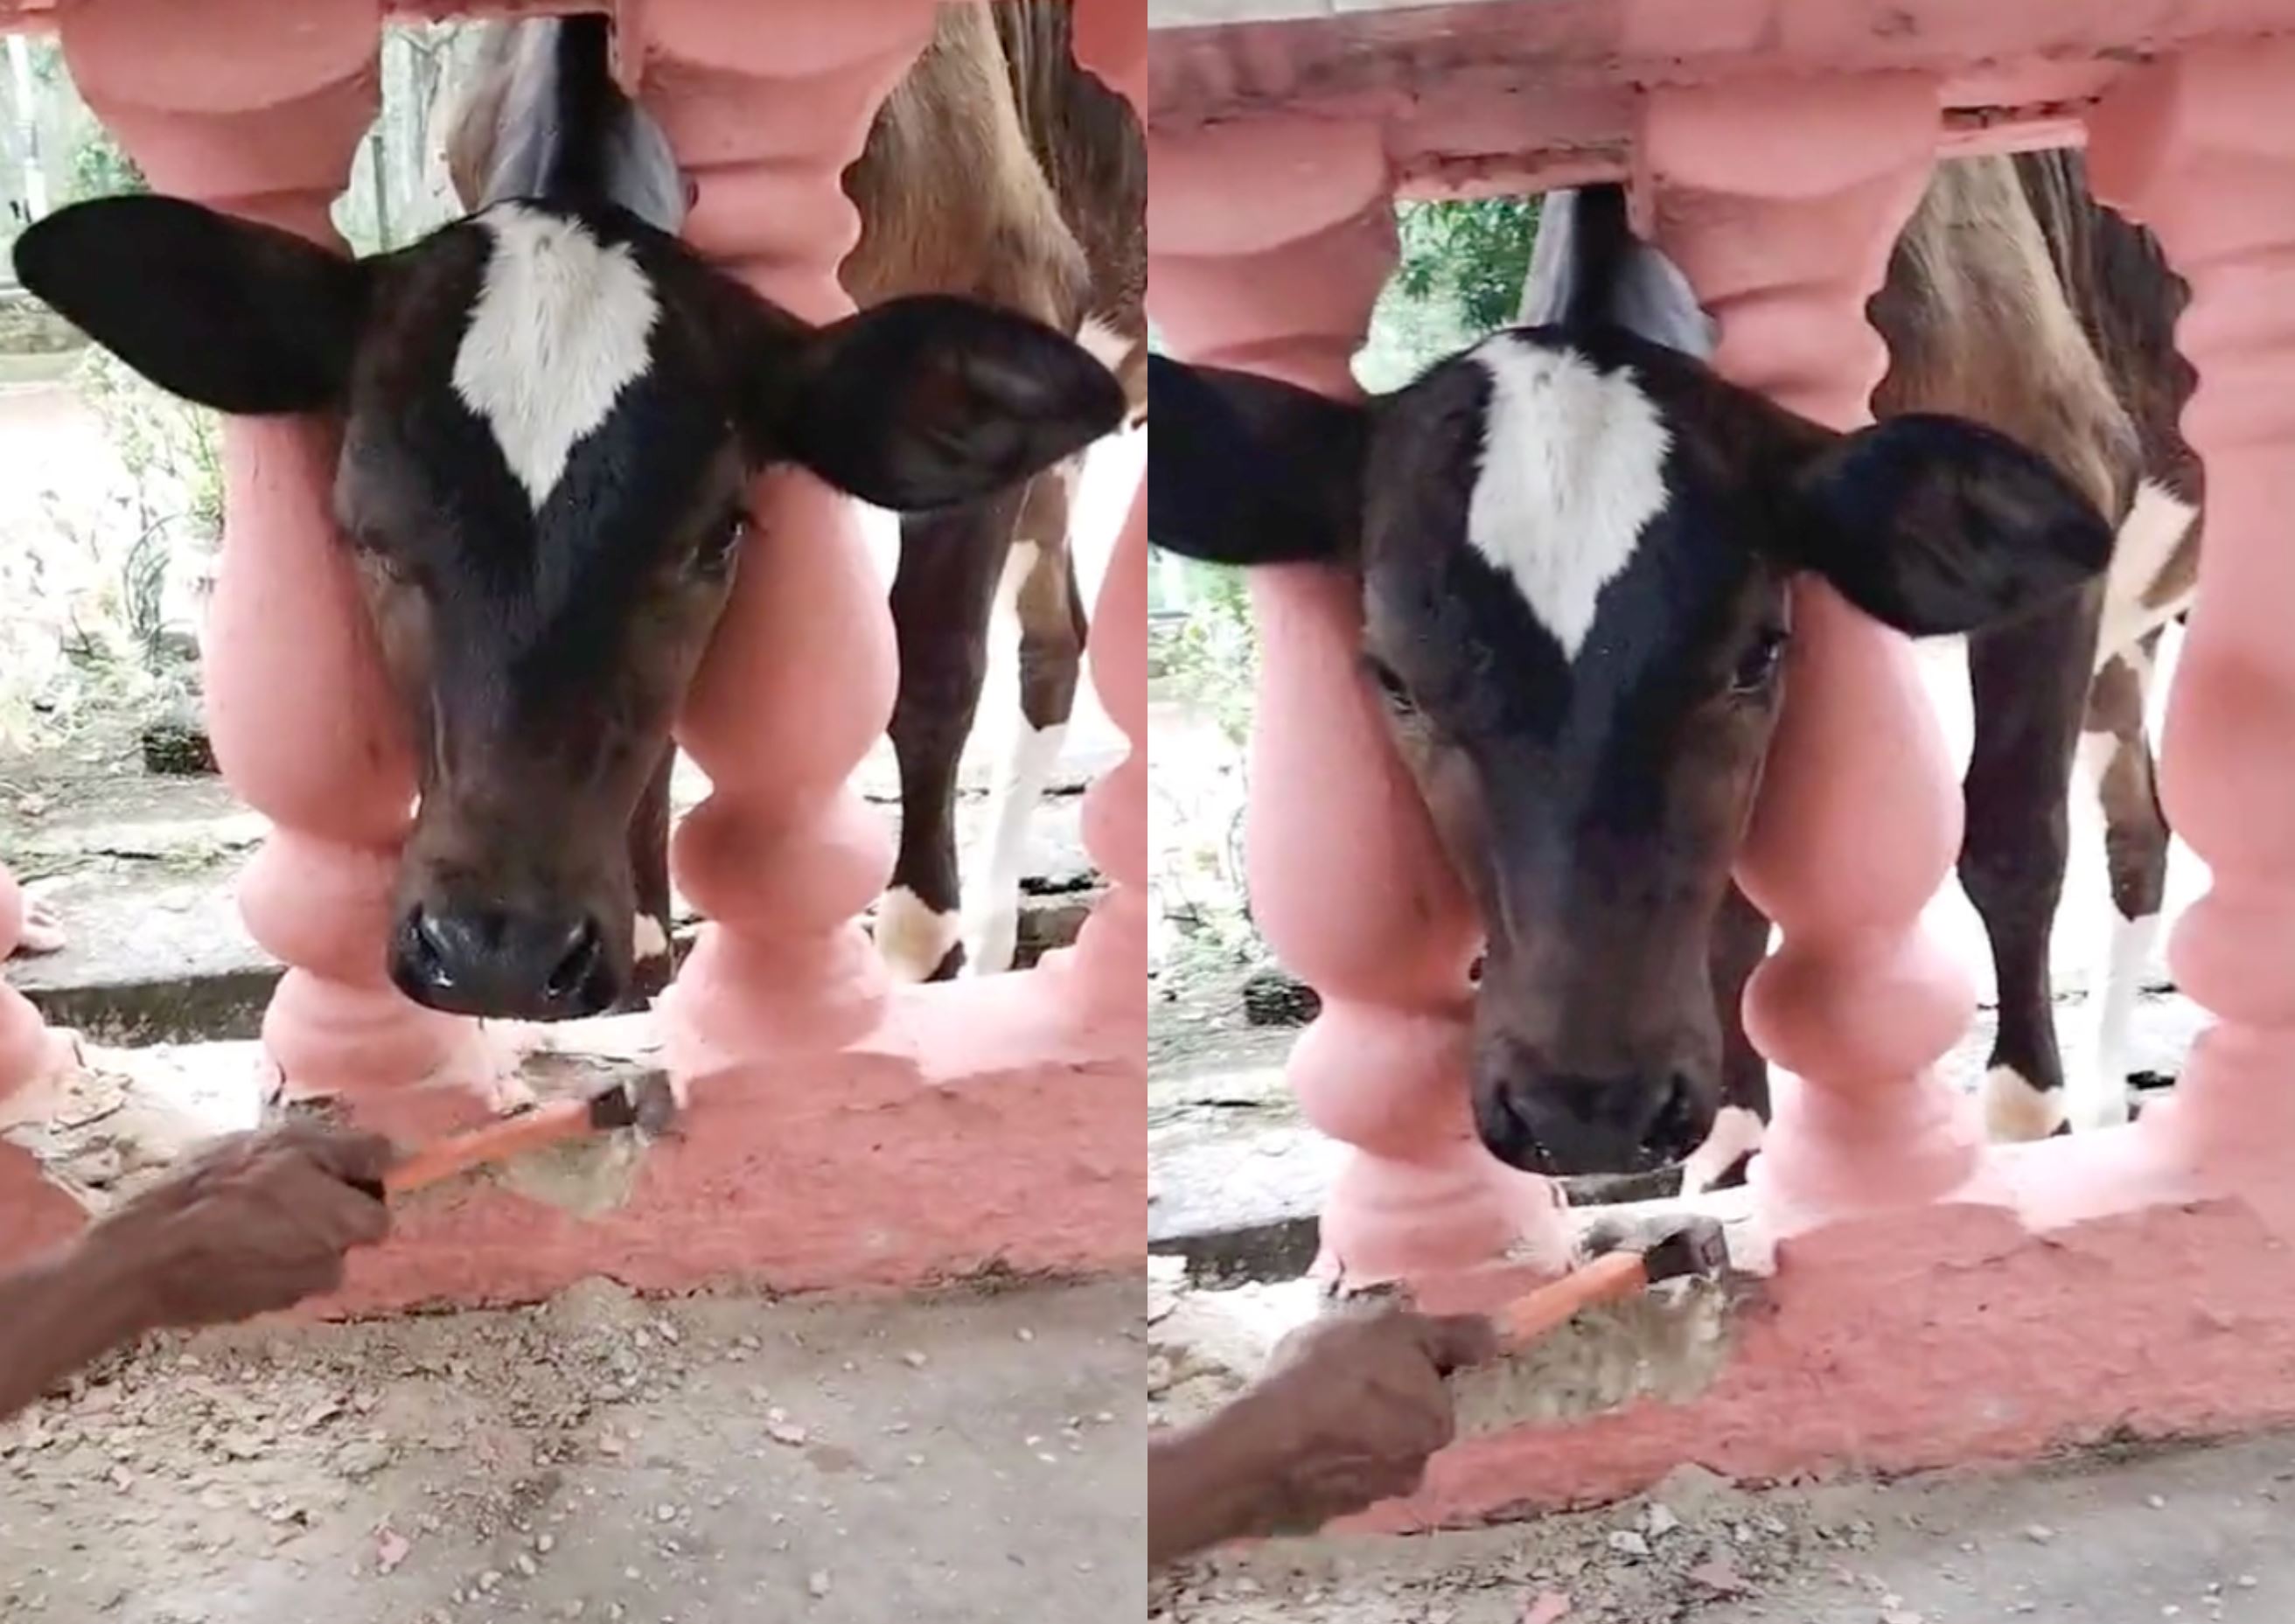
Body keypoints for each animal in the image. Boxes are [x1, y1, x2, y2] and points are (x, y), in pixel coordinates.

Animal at [13, 10, 1127, 1024]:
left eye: (715, 537)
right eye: (368, 536)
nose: (496, 953)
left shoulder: (1008, 273)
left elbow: (930, 674)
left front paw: (915, 954)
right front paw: (645, 939)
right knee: (1057, 636)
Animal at [1149, 152, 2187, 1186]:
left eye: (1754, 654)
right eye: (1395, 680)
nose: (1585, 1110)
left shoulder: (2067, 471)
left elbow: (2010, 842)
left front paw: (2024, 1117)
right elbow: (1734, 906)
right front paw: (1733, 1136)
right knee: (2139, 833)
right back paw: (2107, 1099)